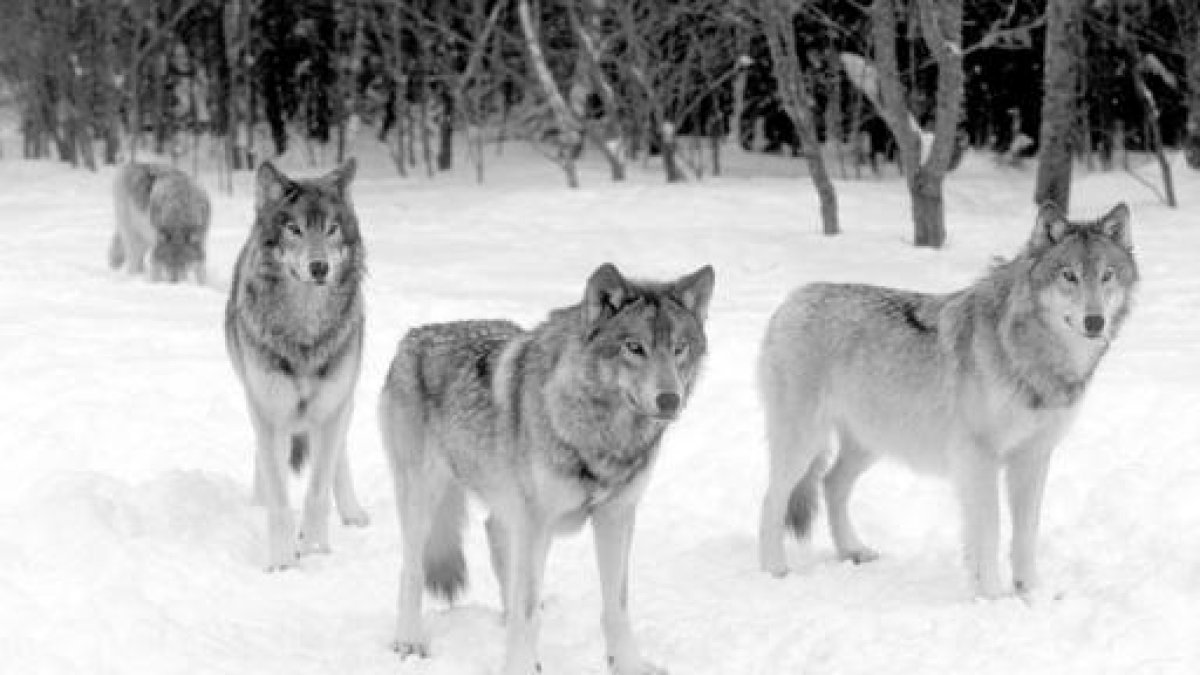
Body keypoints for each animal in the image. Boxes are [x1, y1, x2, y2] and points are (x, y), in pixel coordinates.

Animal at [224, 158, 370, 571]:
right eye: (295, 229)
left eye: (331, 228)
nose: (319, 267)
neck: (305, 332)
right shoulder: (269, 410)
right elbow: (279, 497)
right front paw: (283, 562)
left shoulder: (331, 409)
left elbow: (318, 492)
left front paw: (317, 551)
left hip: (343, 402)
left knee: (338, 458)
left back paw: (352, 513)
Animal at [379, 263, 715, 675]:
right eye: (634, 347)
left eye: (679, 348)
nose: (670, 400)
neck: (601, 438)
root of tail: (412, 337)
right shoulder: (538, 522)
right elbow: (528, 616)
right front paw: (521, 666)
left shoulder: (615, 517)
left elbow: (616, 608)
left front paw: (629, 666)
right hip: (424, 500)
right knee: (411, 569)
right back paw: (410, 640)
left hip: (506, 509)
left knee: (497, 543)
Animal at [758, 202, 1137, 599]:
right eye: (1069, 276)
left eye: (1107, 276)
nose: (1095, 321)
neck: (1032, 355)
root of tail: (791, 300)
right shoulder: (979, 458)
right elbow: (990, 530)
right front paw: (993, 596)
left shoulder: (1033, 458)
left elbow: (1025, 535)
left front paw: (1030, 592)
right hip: (804, 444)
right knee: (772, 500)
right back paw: (775, 571)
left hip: (869, 444)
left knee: (831, 484)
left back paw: (852, 551)